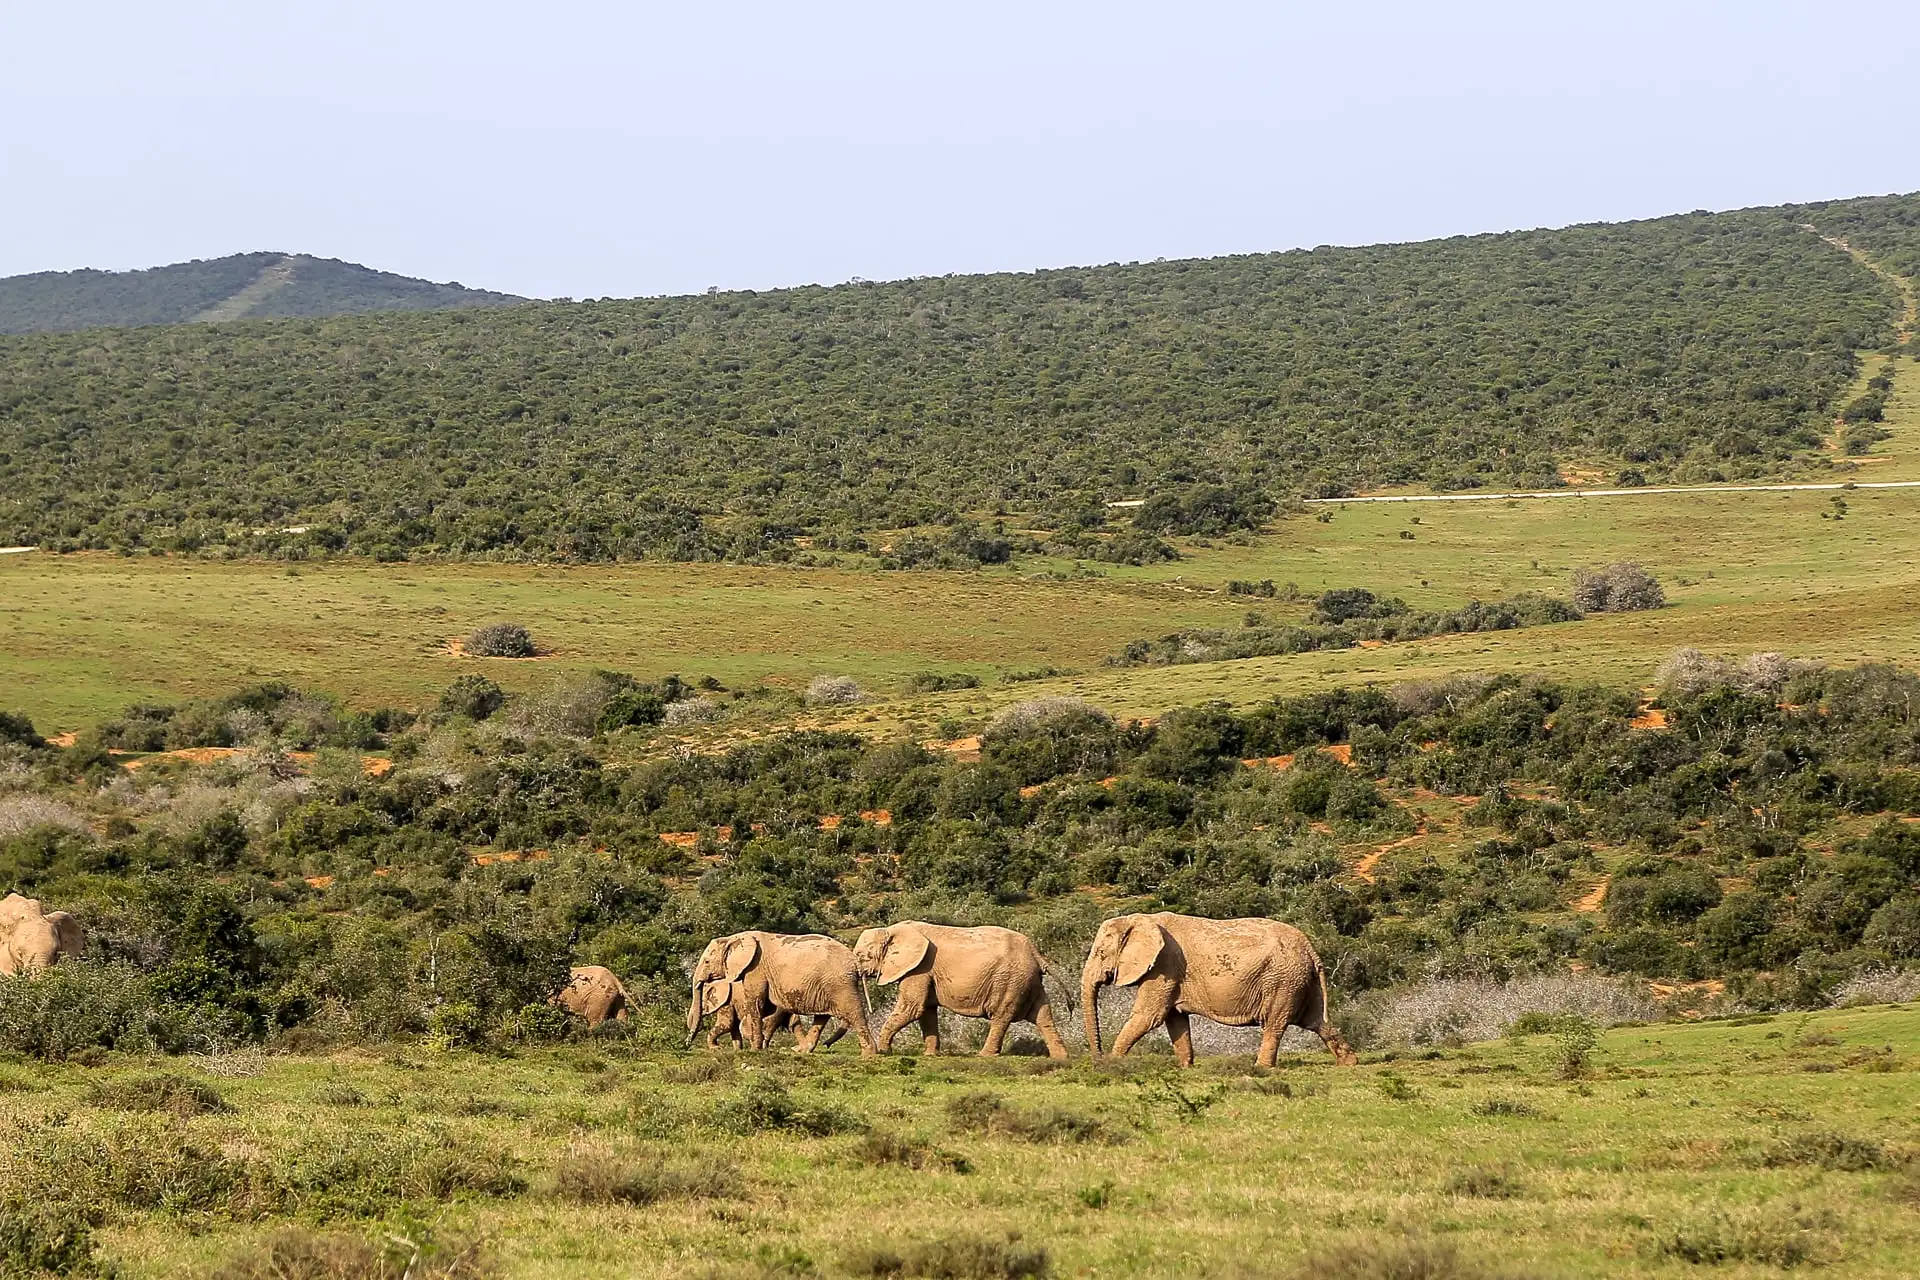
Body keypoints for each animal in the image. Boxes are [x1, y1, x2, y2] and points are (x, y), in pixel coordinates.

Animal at [687, 932, 875, 1059]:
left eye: (707, 962)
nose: (686, 1045)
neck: (734, 938)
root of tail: (856, 962)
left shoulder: (755, 969)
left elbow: (756, 1005)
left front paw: (754, 1050)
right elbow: (765, 1009)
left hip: (840, 984)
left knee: (854, 1014)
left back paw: (868, 1055)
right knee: (821, 1018)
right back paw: (802, 1051)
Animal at [852, 921, 1067, 1059]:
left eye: (863, 956)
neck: (891, 929)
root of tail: (1035, 953)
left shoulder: (919, 968)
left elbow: (912, 1008)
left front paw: (883, 1052)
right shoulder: (925, 972)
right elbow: (926, 1011)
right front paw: (930, 1055)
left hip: (1010, 980)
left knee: (1001, 1017)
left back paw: (984, 1056)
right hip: (1028, 981)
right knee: (1043, 1015)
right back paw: (1061, 1058)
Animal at [1075, 909, 1359, 1074]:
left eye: (1101, 953)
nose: (1096, 1061)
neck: (1141, 919)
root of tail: (1310, 948)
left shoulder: (1163, 966)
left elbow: (1149, 1016)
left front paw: (1113, 1065)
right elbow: (1175, 1020)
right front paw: (1187, 1070)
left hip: (1283, 980)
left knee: (1275, 1025)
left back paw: (1260, 1069)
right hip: (1300, 980)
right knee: (1318, 1021)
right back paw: (1349, 1064)